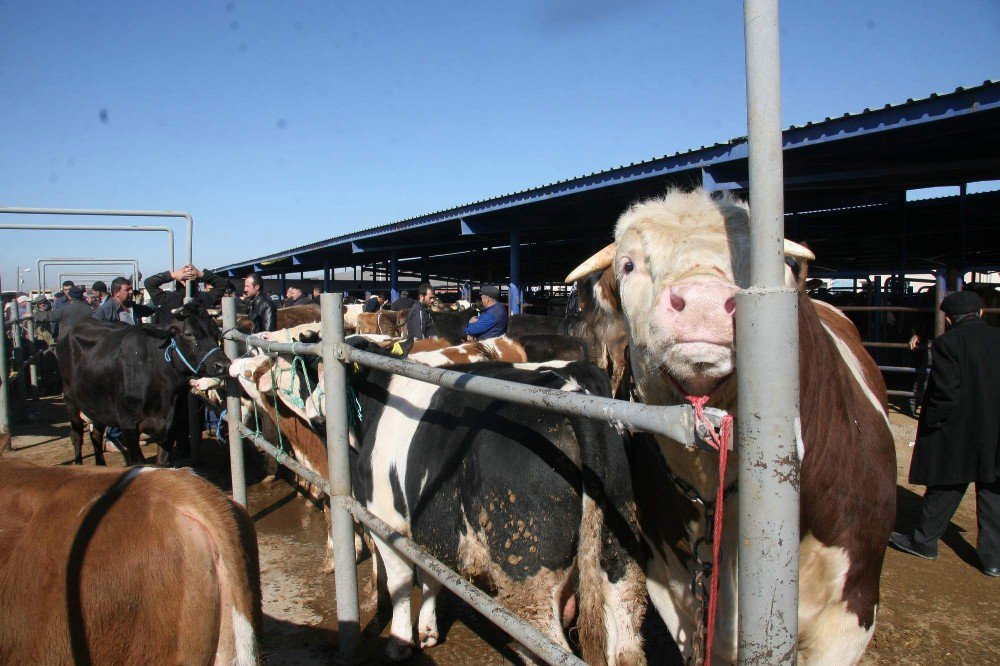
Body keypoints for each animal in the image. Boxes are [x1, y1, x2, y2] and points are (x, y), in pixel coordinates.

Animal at [58, 300, 230, 462]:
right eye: (188, 333)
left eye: (216, 333)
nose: (223, 365)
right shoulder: (129, 427)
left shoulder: (170, 428)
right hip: (70, 401)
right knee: (76, 436)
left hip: (96, 405)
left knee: (96, 436)